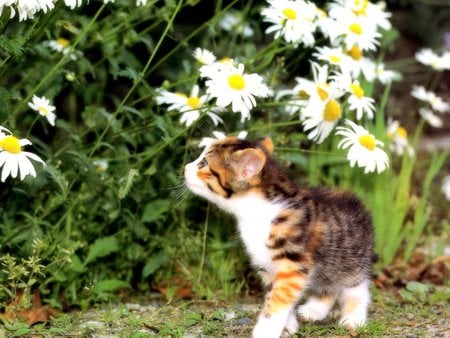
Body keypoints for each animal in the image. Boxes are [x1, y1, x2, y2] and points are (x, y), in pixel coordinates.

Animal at [183, 136, 372, 336]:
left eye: (203, 163)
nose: (185, 167)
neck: (256, 212)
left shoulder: (292, 264)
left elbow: (278, 299)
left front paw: (265, 330)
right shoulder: (266, 265)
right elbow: (273, 295)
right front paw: (287, 326)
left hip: (352, 260)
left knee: (356, 288)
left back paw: (353, 318)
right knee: (330, 285)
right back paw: (314, 310)